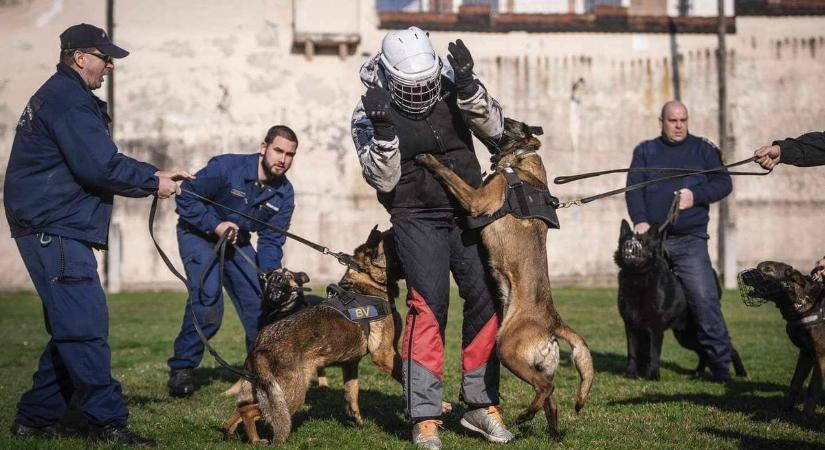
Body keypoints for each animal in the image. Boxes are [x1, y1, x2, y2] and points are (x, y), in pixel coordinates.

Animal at [740, 262, 824, 416]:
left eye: (768, 269)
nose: (743, 276)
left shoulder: (820, 357)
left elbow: (813, 389)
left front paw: (807, 416)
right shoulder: (806, 354)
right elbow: (795, 383)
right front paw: (787, 409)